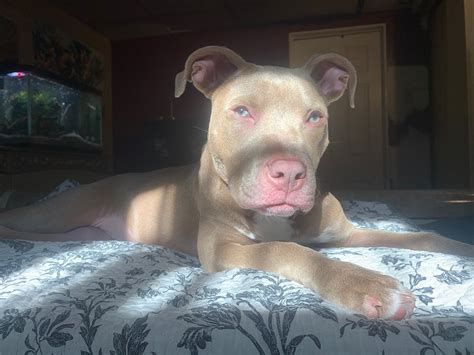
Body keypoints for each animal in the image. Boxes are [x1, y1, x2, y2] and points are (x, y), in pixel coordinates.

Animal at [1, 46, 472, 322]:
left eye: (315, 116)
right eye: (242, 111)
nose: (288, 173)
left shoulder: (348, 232)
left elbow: (424, 235)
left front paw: (459, 246)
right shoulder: (222, 248)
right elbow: (287, 250)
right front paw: (363, 284)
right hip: (58, 211)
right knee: (18, 216)